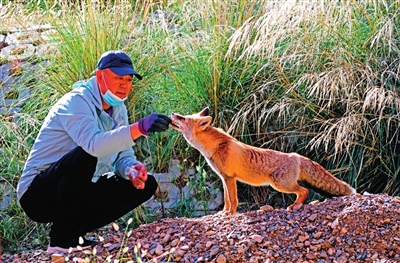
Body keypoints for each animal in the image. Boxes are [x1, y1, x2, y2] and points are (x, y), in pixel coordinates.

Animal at [170, 107, 358, 214]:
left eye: (183, 118)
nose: (172, 113)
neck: (216, 146)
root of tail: (296, 155)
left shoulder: (230, 178)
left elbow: (233, 200)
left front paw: (230, 214)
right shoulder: (224, 178)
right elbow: (226, 199)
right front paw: (223, 213)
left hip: (280, 184)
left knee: (304, 191)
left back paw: (295, 206)